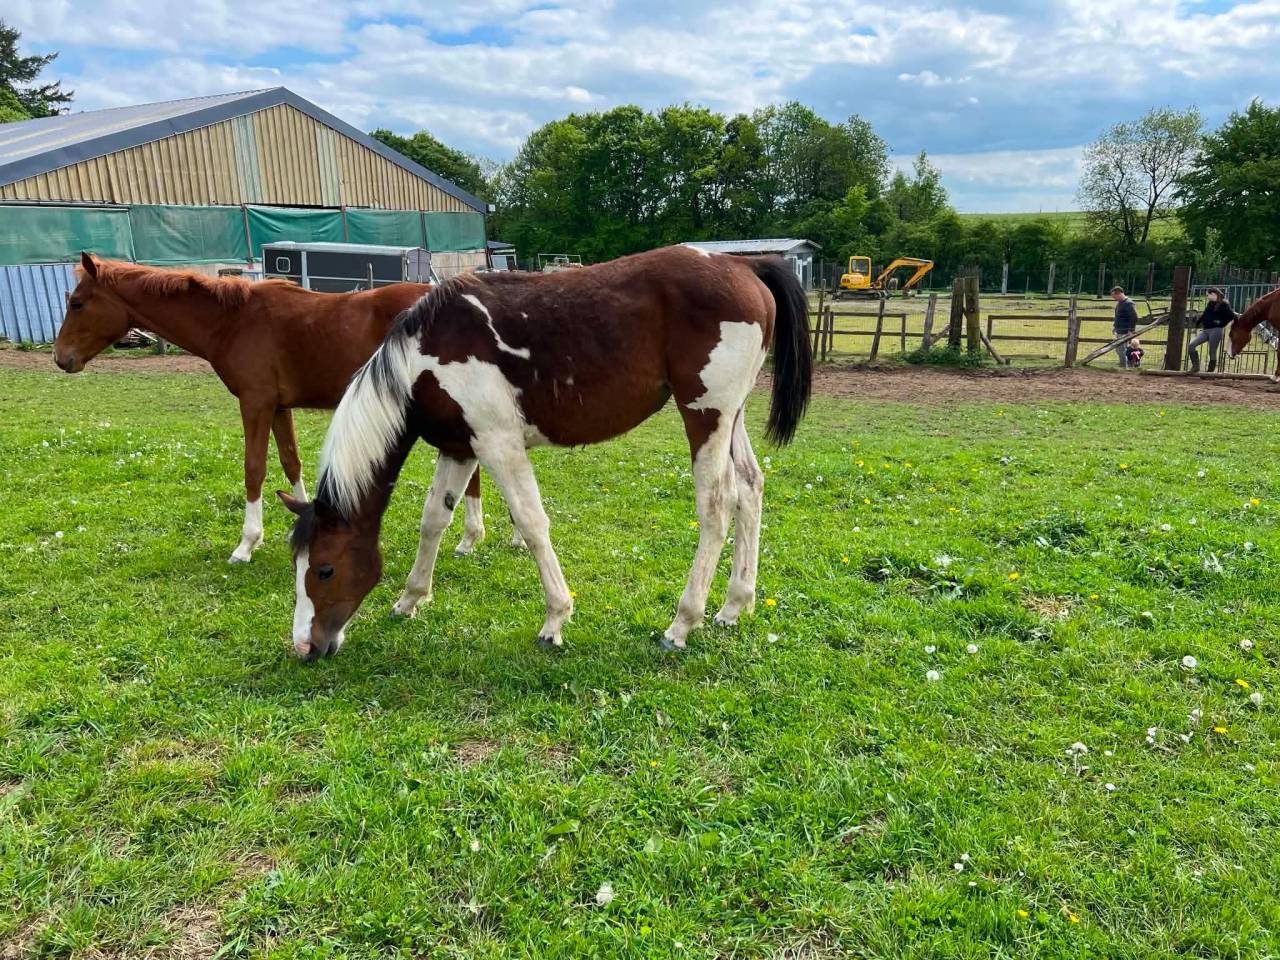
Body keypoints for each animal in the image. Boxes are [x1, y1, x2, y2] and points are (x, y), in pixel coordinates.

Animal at [53, 254, 503, 562]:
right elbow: (290, 461)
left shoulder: (254, 403)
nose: (61, 358)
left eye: (77, 303)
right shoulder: (278, 407)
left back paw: (470, 536)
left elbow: (254, 468)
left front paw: (246, 543)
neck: (233, 321)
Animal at [281, 244, 812, 661]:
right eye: (298, 566)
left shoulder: (498, 444)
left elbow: (532, 523)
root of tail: (742, 264)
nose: (306, 647)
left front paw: (556, 619)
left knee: (717, 505)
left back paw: (682, 624)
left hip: (705, 416)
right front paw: (411, 599)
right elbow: (434, 520)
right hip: (730, 417)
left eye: (325, 569)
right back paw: (733, 605)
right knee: (750, 488)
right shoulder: (459, 448)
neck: (423, 358)